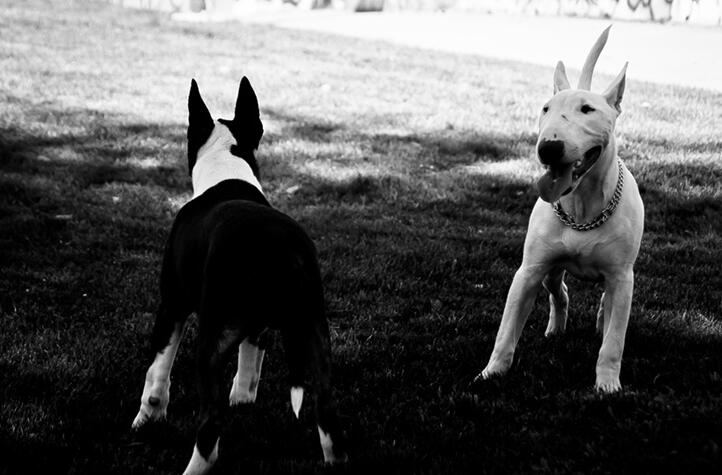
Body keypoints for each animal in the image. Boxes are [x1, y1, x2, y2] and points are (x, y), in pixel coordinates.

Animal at [131, 78, 347, 474]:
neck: (227, 171)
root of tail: (280, 251)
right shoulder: (256, 331)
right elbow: (248, 375)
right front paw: (243, 400)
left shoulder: (172, 306)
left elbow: (157, 372)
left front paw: (146, 419)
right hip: (314, 331)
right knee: (327, 415)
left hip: (212, 340)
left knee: (211, 424)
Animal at [477, 27, 644, 393]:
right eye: (545, 108)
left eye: (588, 109)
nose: (549, 148)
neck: (582, 210)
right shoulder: (528, 272)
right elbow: (506, 330)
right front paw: (492, 372)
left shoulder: (622, 276)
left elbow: (615, 339)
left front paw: (607, 384)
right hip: (551, 270)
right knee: (560, 291)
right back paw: (556, 329)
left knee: (608, 305)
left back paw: (600, 322)